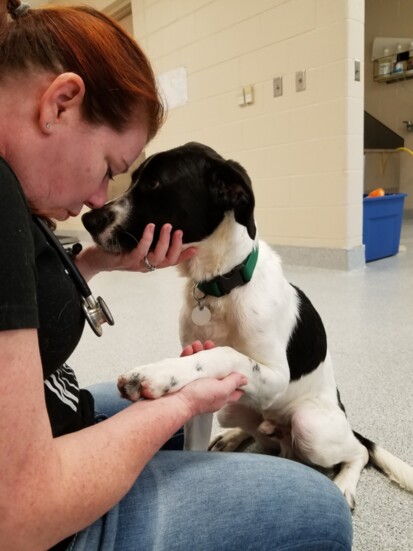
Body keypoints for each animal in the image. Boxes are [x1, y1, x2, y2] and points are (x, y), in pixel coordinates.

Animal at [83, 141, 412, 508]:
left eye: (155, 183)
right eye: (133, 179)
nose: (87, 219)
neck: (220, 287)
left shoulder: (276, 376)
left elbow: (225, 353)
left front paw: (154, 373)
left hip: (312, 426)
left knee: (359, 452)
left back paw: (344, 484)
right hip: (234, 409)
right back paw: (233, 436)